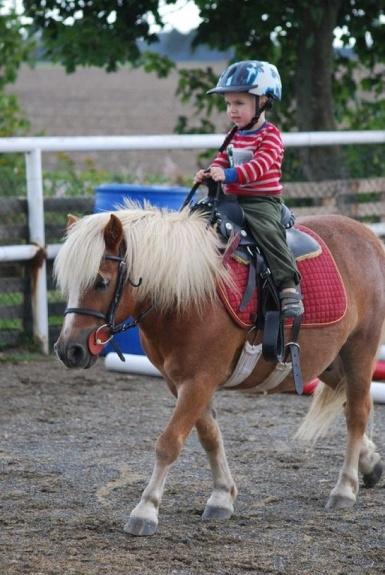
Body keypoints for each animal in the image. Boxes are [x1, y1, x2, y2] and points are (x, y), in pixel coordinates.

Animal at [54, 205, 384, 536]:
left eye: (101, 281)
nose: (69, 350)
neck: (187, 294)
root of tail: (368, 237)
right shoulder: (183, 383)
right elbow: (210, 437)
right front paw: (222, 496)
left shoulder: (198, 382)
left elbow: (169, 443)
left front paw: (145, 510)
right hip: (327, 361)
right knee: (349, 401)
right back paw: (369, 462)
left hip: (359, 350)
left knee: (357, 412)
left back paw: (344, 488)